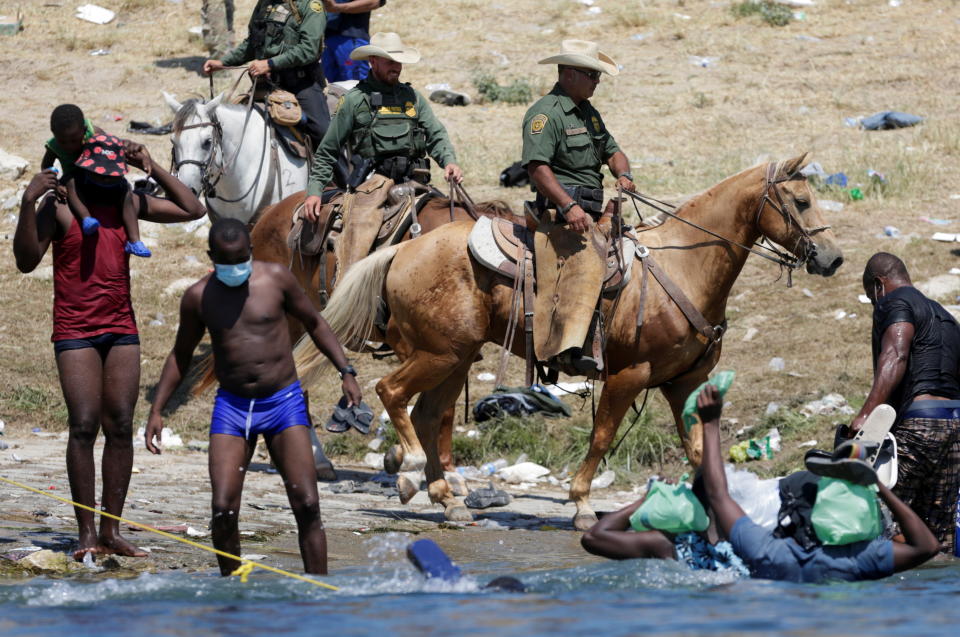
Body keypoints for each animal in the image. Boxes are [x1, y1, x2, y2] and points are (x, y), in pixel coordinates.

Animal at [296, 155, 844, 528]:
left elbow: (695, 448)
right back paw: (408, 470)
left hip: (455, 357)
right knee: (392, 394)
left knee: (431, 416)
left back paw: (448, 500)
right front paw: (581, 503)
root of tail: (403, 248)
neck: (683, 266)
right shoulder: (629, 375)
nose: (833, 258)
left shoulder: (684, 382)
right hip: (438, 354)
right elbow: (602, 436)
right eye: (800, 201)